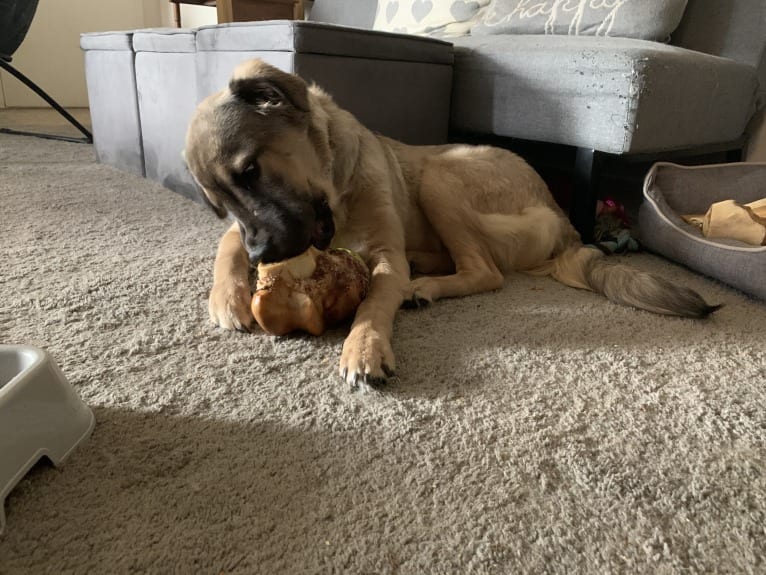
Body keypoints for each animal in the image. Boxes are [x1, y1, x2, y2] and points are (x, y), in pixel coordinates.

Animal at [184, 58, 720, 390]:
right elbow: (225, 247)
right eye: (219, 204)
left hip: (440, 177)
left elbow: (373, 303)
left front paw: (364, 347)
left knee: (487, 273)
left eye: (251, 171)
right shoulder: (244, 232)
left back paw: (422, 287)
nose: (262, 256)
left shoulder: (385, 258)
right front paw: (227, 296)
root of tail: (562, 217)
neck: (336, 189)